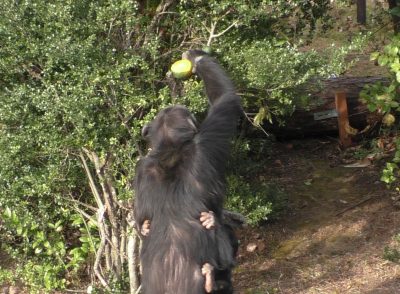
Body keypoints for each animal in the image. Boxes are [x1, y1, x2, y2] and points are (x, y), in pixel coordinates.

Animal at [134, 50, 241, 294]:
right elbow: (225, 99)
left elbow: (140, 216)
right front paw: (195, 57)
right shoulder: (207, 141)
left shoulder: (141, 168)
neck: (170, 149)